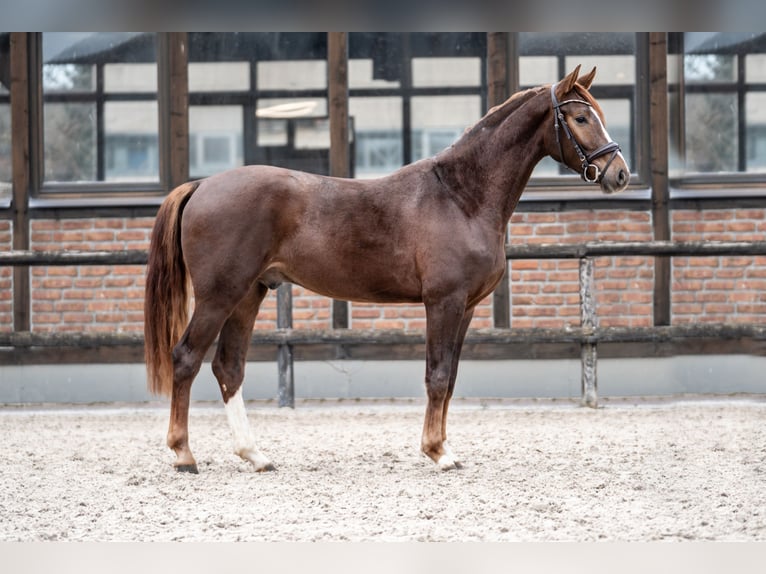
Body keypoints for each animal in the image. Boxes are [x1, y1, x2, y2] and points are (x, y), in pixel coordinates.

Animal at [144, 67, 632, 474]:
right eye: (581, 118)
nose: (619, 174)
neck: (460, 197)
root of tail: (202, 185)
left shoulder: (466, 308)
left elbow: (450, 377)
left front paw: (444, 447)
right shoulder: (443, 302)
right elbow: (437, 375)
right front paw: (437, 453)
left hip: (249, 294)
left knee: (228, 368)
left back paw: (255, 456)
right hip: (219, 296)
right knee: (186, 358)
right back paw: (184, 455)